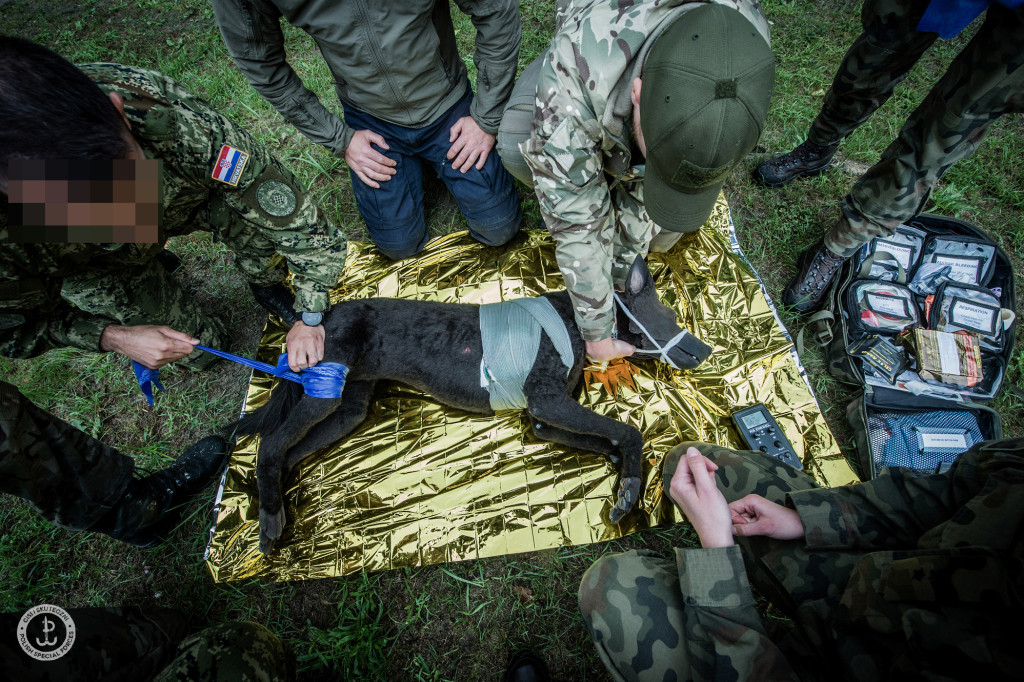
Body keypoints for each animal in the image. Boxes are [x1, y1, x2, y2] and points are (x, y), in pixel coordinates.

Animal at [237, 254, 712, 552]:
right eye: (670, 316)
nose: (705, 351)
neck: (576, 322)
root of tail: (324, 315)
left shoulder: (543, 419)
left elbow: (605, 438)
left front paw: (616, 462)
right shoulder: (548, 402)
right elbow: (629, 431)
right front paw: (630, 483)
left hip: (348, 408)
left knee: (289, 450)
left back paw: (273, 502)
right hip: (325, 391)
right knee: (271, 443)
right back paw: (269, 514)